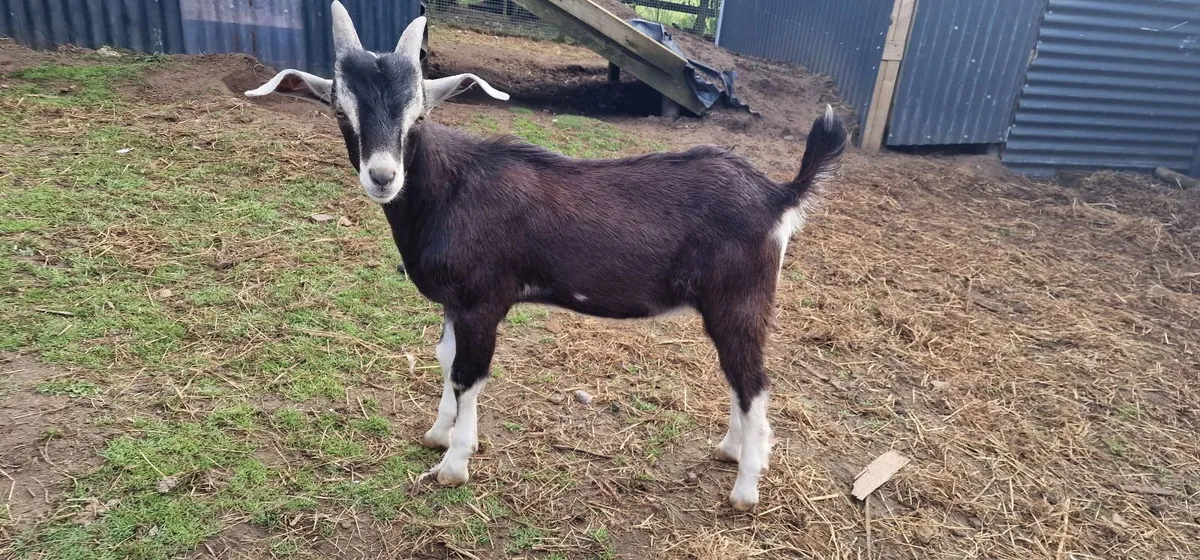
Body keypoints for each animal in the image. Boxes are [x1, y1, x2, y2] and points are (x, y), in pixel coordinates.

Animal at [247, 2, 847, 511]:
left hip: (740, 299)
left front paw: (453, 465)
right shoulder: (453, 303)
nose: (382, 176)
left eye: (417, 117)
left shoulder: (483, 300)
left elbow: (469, 374)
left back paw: (745, 489)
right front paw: (438, 433)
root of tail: (777, 194)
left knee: (755, 383)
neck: (449, 189)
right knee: (738, 379)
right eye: (340, 112)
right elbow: (445, 359)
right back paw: (729, 449)